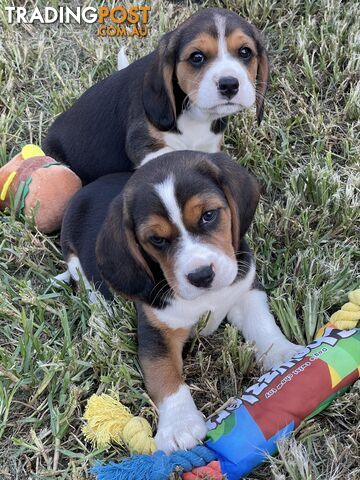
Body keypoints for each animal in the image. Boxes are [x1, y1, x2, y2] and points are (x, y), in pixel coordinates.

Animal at [43, 7, 268, 184]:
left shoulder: (209, 145)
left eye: (245, 52)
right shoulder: (141, 144)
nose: (229, 84)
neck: (196, 114)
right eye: (197, 57)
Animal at [59, 153, 300, 454]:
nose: (202, 275)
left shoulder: (246, 289)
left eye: (208, 215)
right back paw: (103, 315)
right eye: (157, 239)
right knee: (89, 287)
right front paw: (178, 425)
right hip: (74, 257)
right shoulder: (156, 331)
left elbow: (262, 324)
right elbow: (164, 374)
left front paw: (284, 354)